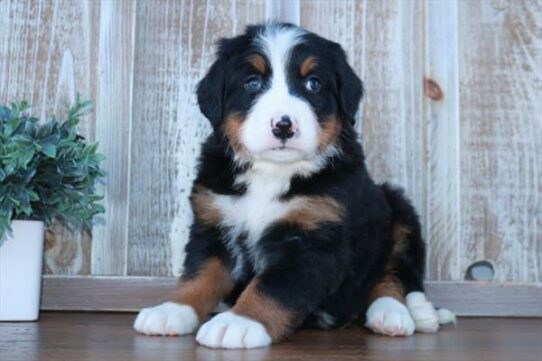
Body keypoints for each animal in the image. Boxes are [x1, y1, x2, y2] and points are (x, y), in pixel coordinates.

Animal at [135, 21, 454, 348]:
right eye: (252, 82)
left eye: (313, 83)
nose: (284, 125)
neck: (273, 173)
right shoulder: (213, 224)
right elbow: (199, 275)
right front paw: (173, 310)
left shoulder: (314, 241)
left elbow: (271, 287)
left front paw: (239, 322)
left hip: (396, 207)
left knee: (393, 272)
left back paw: (402, 313)